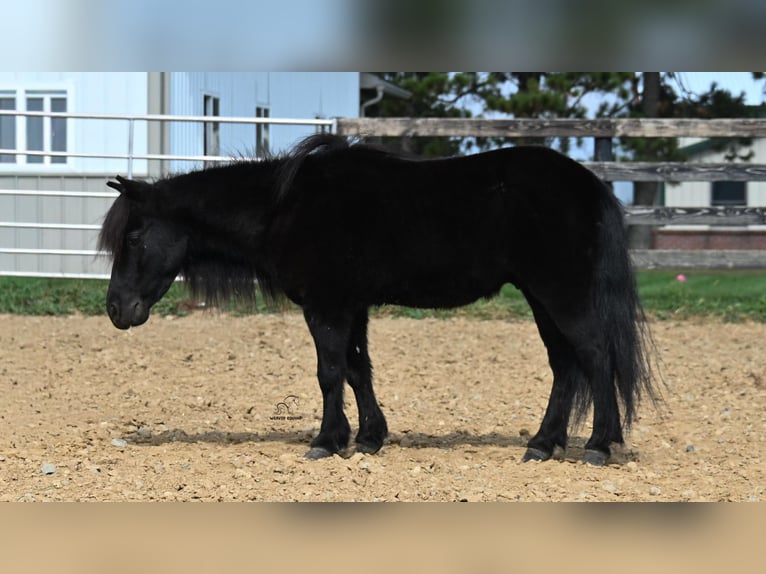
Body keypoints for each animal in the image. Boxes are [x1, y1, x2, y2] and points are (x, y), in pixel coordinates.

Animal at [99, 134, 656, 465]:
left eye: (133, 237)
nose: (116, 309)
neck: (283, 208)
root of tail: (588, 183)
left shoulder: (326, 305)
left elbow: (329, 372)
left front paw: (326, 442)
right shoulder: (352, 306)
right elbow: (356, 369)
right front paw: (368, 438)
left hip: (562, 295)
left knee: (595, 358)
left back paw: (598, 445)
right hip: (543, 299)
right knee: (565, 367)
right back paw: (543, 444)